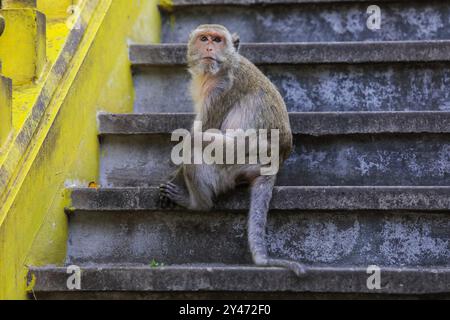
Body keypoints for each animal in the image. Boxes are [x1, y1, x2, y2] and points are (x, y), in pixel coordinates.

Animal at [159, 24, 306, 276]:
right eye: (204, 39)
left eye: (217, 40)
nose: (209, 48)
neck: (220, 69)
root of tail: (274, 163)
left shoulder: (221, 90)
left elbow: (201, 131)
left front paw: (173, 178)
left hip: (233, 163)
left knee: (195, 142)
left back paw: (198, 204)